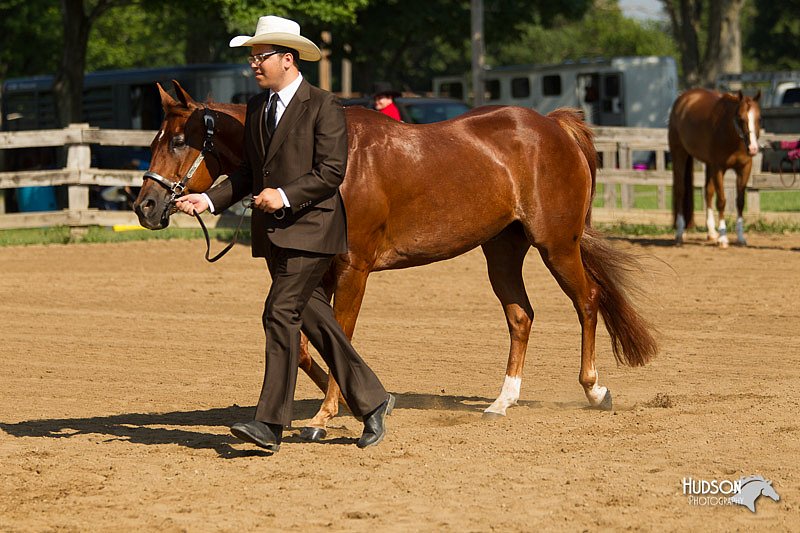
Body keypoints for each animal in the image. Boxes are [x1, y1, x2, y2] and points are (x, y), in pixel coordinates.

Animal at [133, 82, 656, 436]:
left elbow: (338, 337)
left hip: (557, 244)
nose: (146, 207)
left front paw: (327, 414)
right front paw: (362, 401)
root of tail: (555, 126)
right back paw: (501, 402)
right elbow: (307, 345)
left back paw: (595, 389)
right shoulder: (315, 274)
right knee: (520, 316)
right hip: (501, 250)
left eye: (177, 141)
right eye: (154, 140)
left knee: (588, 301)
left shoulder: (354, 270)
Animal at [668, 88, 764, 246]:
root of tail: (683, 98)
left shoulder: (744, 169)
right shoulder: (719, 169)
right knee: (680, 190)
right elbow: (722, 201)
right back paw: (680, 233)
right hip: (679, 154)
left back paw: (712, 233)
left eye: (759, 118)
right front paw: (723, 238)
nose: (753, 148)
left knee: (708, 192)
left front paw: (740, 237)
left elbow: (740, 202)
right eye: (740, 117)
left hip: (709, 165)